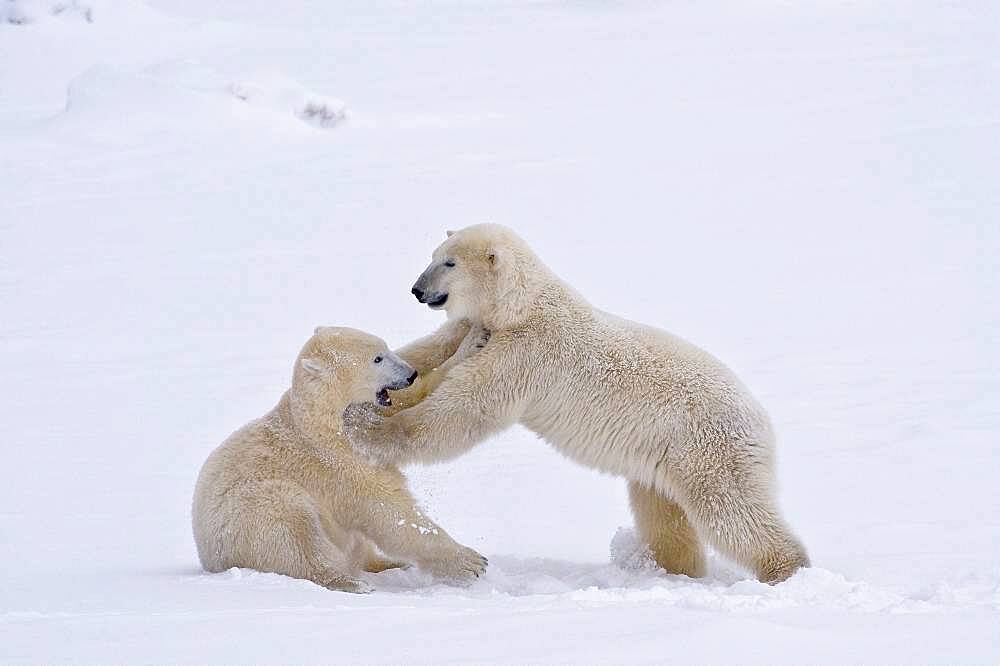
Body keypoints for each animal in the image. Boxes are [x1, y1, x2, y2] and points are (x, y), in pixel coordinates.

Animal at [191, 324, 488, 588]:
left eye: (386, 347)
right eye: (377, 358)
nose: (410, 373)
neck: (318, 422)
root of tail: (208, 559)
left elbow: (399, 405)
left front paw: (472, 340)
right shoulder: (338, 464)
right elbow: (390, 512)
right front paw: (471, 562)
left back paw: (390, 565)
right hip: (255, 514)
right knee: (297, 534)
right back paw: (351, 581)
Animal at [348, 223, 808, 580]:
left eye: (449, 263)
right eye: (434, 255)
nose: (417, 290)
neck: (521, 305)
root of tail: (762, 419)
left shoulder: (526, 352)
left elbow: (466, 409)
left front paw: (371, 431)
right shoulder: (477, 325)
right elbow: (428, 351)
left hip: (708, 448)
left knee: (732, 511)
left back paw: (784, 568)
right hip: (664, 456)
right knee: (664, 514)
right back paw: (671, 568)